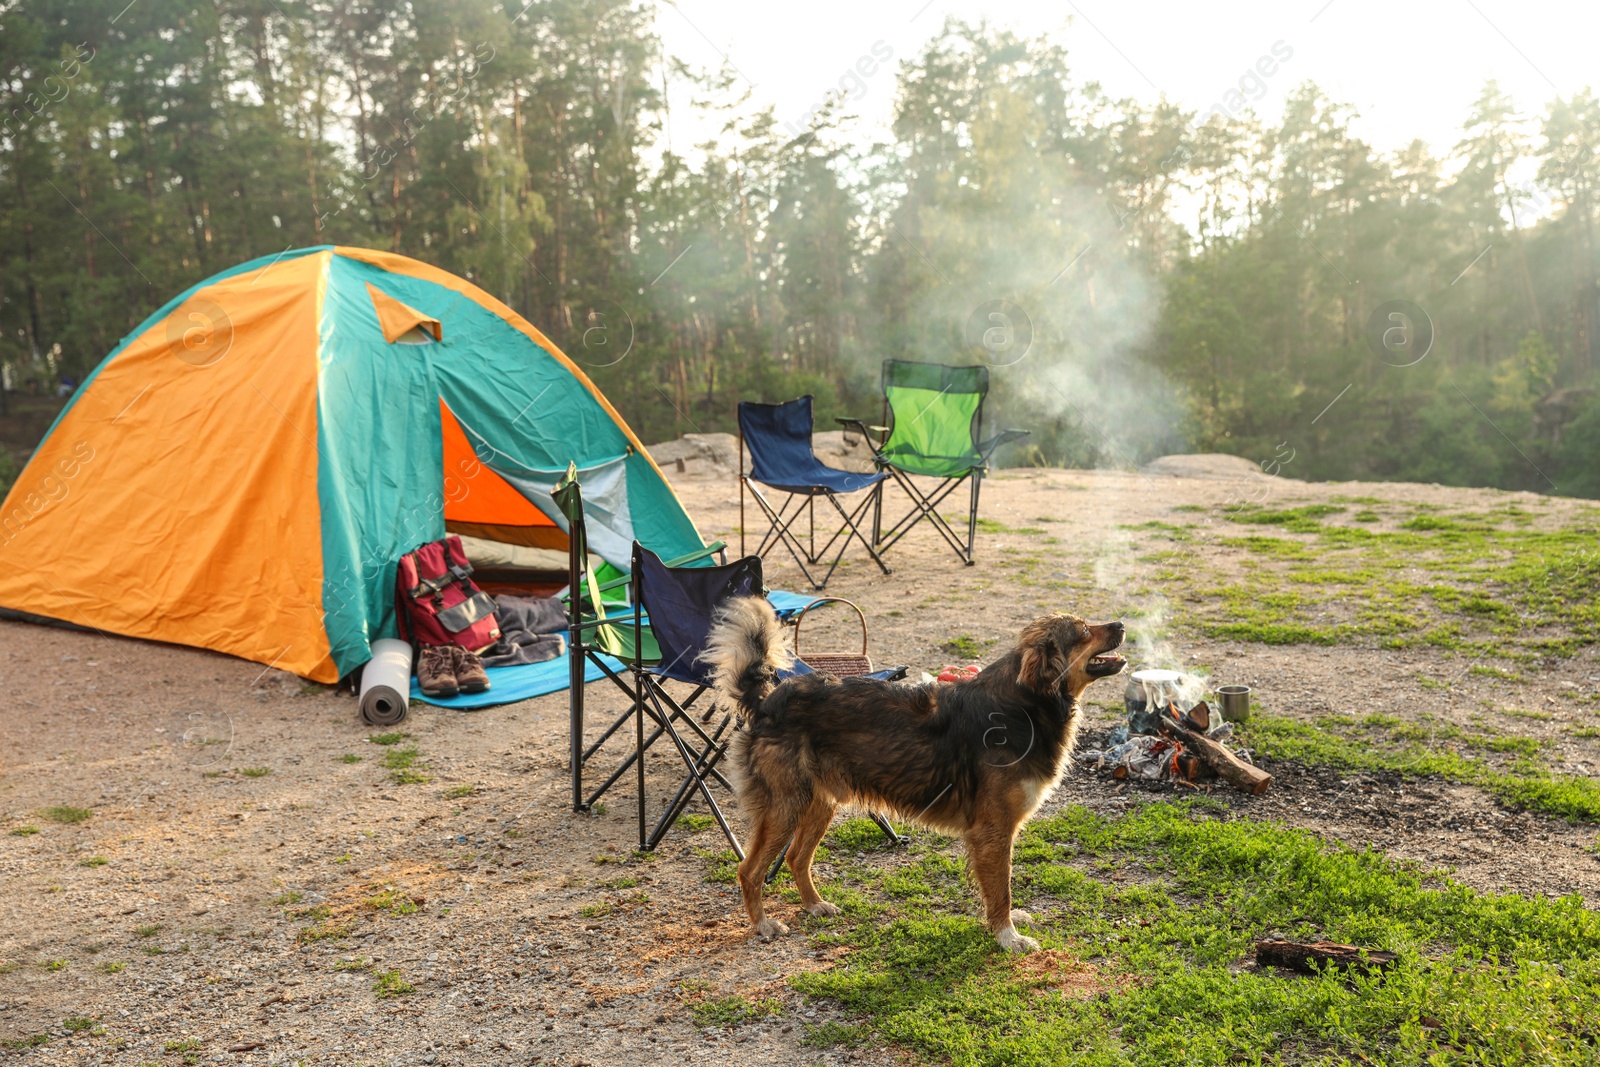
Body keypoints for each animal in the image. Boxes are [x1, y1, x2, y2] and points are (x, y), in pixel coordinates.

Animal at [700, 604, 1126, 953]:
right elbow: (1000, 888)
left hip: (819, 803)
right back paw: (762, 926)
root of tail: (766, 702)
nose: (1122, 623)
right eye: (1083, 631)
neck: (1024, 704)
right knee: (750, 870)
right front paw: (1007, 935)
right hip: (785, 806)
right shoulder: (993, 829)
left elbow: (1000, 886)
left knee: (795, 857)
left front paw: (1007, 924)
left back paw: (814, 905)